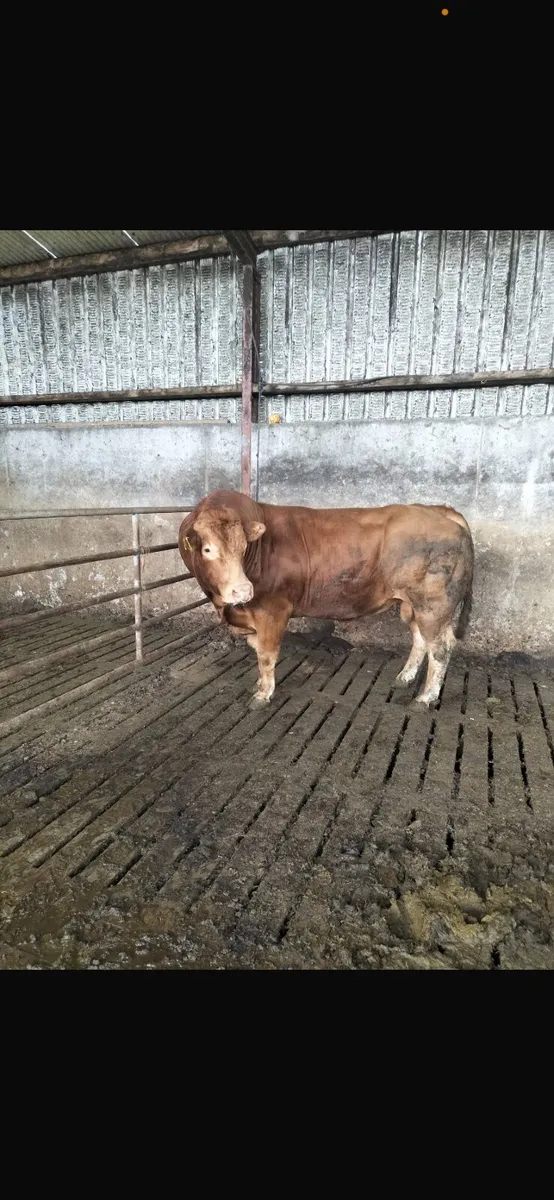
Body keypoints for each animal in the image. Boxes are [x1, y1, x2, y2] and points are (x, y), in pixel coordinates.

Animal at [178, 489, 474, 709]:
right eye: (207, 549)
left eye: (243, 548)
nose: (242, 591)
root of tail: (438, 510)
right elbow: (257, 650)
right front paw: (260, 685)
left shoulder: (272, 611)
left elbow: (266, 655)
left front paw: (263, 695)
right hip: (413, 605)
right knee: (421, 639)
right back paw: (405, 678)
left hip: (433, 604)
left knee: (441, 647)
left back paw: (425, 698)